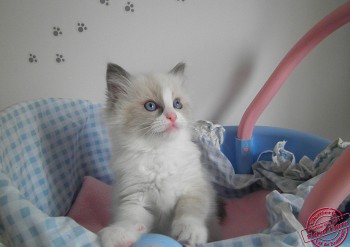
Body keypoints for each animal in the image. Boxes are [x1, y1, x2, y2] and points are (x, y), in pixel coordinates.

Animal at [98, 62, 219, 246]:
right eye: (150, 106)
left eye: (177, 104)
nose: (172, 116)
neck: (159, 152)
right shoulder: (135, 198)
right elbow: (129, 220)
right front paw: (118, 234)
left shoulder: (193, 189)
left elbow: (190, 212)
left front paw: (190, 232)